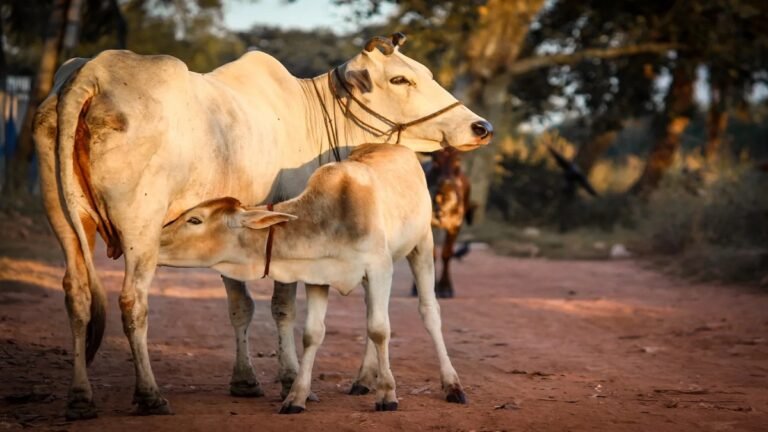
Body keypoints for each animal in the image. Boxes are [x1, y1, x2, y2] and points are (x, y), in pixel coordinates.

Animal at [159, 143, 464, 414]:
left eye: (195, 220)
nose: (158, 238)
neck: (331, 217)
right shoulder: (319, 277)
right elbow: (312, 334)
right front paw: (296, 397)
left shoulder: (380, 268)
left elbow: (380, 330)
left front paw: (388, 395)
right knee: (370, 314)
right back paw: (363, 380)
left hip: (422, 244)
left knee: (428, 312)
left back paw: (452, 384)